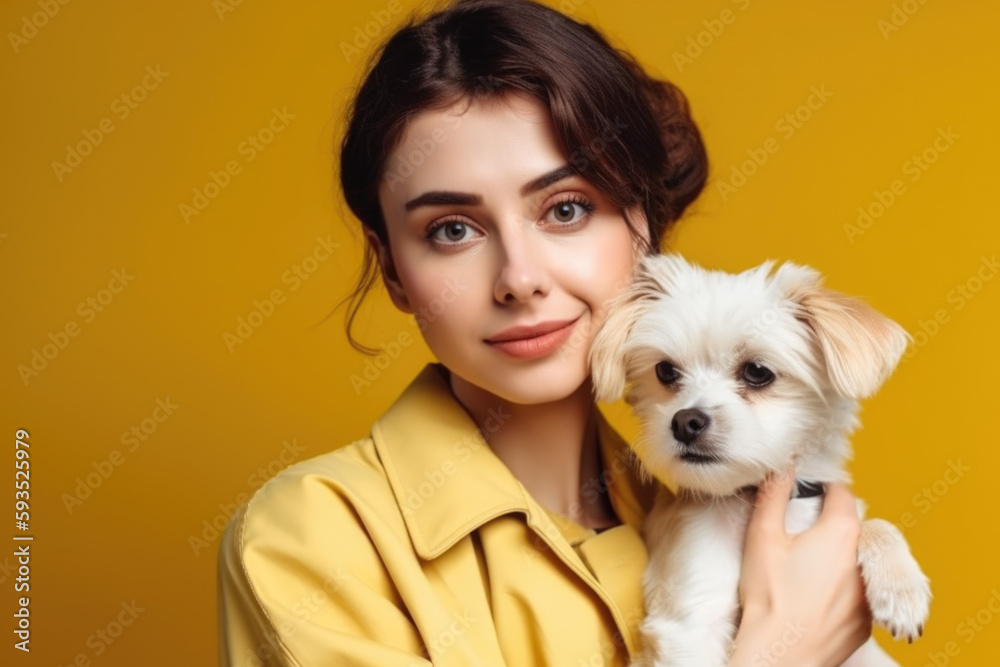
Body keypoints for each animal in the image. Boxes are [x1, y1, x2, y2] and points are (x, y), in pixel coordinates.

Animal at [588, 253, 932, 664]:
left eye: (756, 371)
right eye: (666, 371)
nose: (685, 422)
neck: (755, 499)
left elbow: (878, 525)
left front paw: (902, 589)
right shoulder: (690, 620)